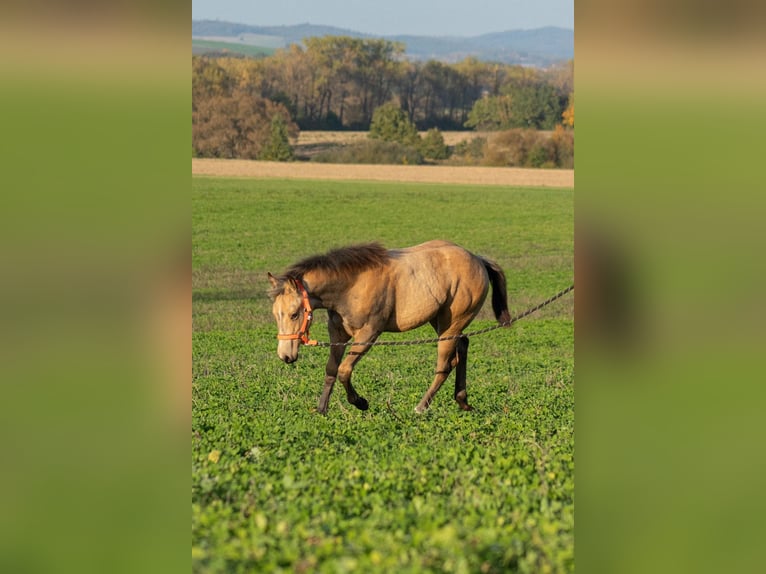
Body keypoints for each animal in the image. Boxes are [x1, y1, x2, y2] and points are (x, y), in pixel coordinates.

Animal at [268, 241, 512, 416]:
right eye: (275, 314)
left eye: (294, 314)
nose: (285, 356)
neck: (351, 286)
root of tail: (478, 259)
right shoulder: (337, 333)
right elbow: (331, 370)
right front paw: (321, 409)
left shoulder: (368, 335)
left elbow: (344, 370)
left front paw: (360, 402)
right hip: (442, 322)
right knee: (462, 346)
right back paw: (462, 401)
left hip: (452, 324)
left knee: (445, 365)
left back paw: (421, 407)